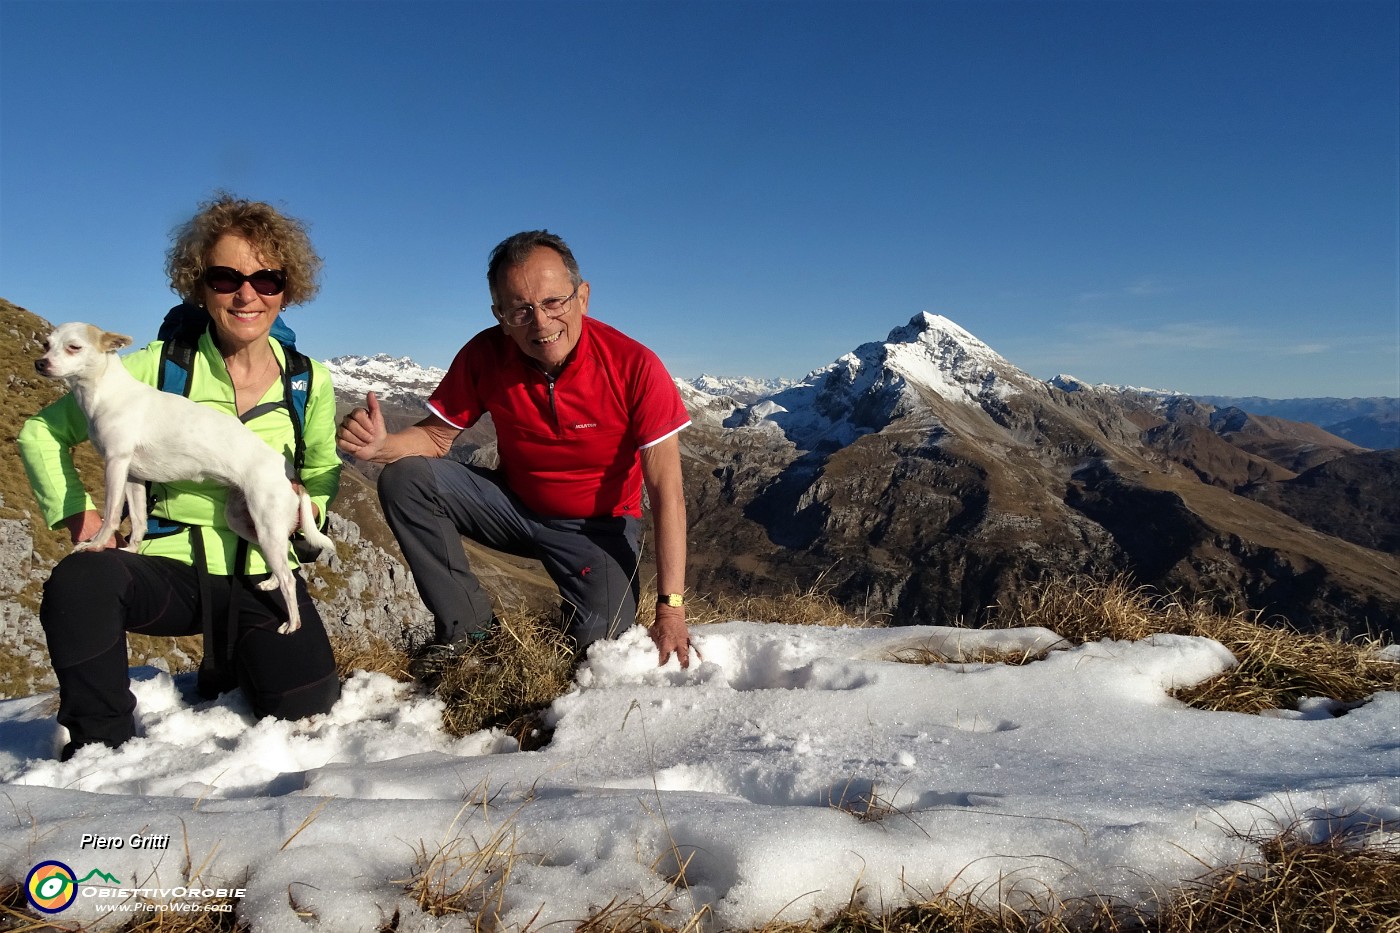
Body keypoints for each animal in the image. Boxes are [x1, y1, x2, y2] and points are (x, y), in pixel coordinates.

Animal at [36, 319, 333, 633]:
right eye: (46, 344)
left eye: (74, 347)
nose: (40, 363)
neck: (107, 392)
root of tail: (290, 474)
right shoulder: (132, 477)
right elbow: (139, 520)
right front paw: (132, 549)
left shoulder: (115, 464)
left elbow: (111, 515)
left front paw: (95, 544)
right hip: (247, 523)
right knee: (283, 556)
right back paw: (272, 581)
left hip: (266, 526)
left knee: (289, 580)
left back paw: (292, 622)